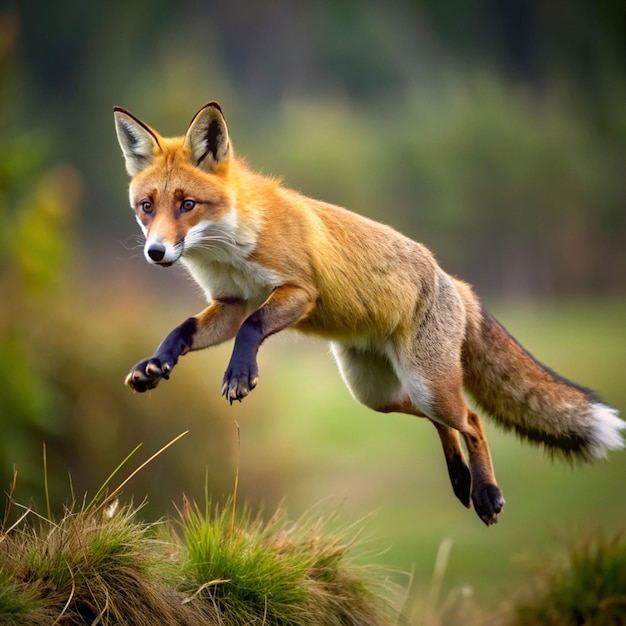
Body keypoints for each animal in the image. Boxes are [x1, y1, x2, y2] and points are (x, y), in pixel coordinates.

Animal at [114, 100, 620, 524]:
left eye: (187, 204)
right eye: (147, 207)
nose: (156, 252)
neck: (232, 246)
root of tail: (455, 283)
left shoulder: (298, 292)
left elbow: (253, 329)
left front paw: (239, 374)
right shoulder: (230, 304)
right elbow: (183, 329)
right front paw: (155, 365)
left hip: (426, 383)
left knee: (472, 421)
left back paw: (486, 493)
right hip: (376, 393)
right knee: (439, 421)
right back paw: (460, 478)